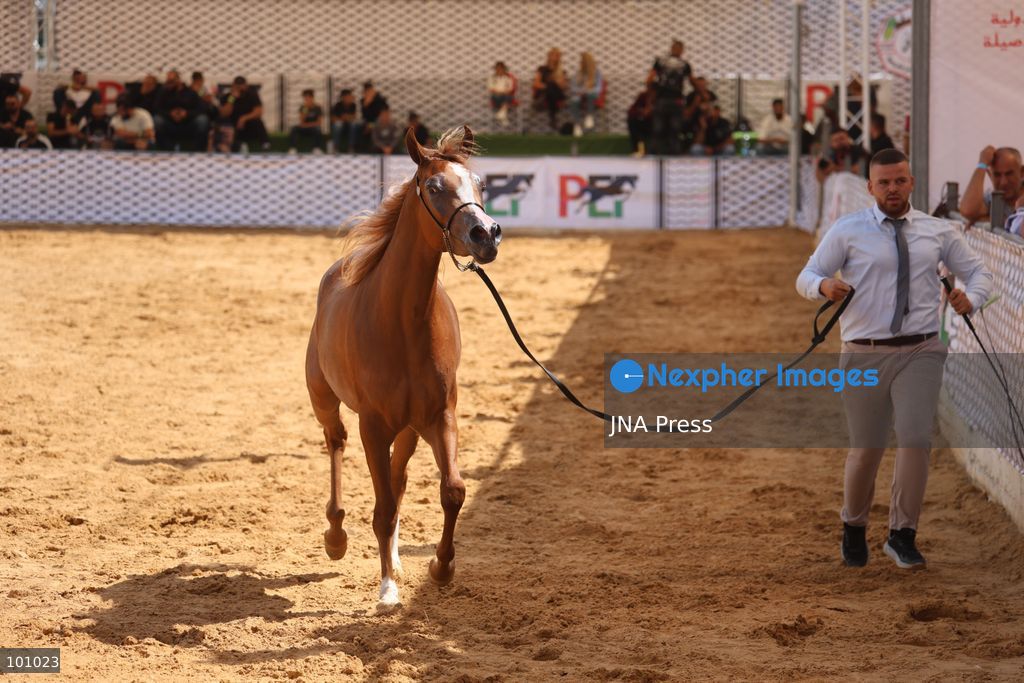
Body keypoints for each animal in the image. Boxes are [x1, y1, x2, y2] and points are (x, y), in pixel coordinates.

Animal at [305, 125, 502, 612]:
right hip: (325, 401)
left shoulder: (440, 417)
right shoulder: (373, 426)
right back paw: (336, 536)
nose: (486, 234)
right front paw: (388, 590)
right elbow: (383, 508)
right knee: (336, 444)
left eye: (479, 183)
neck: (403, 321)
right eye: (433, 187)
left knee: (400, 478)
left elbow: (452, 491)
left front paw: (440, 568)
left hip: (409, 430)